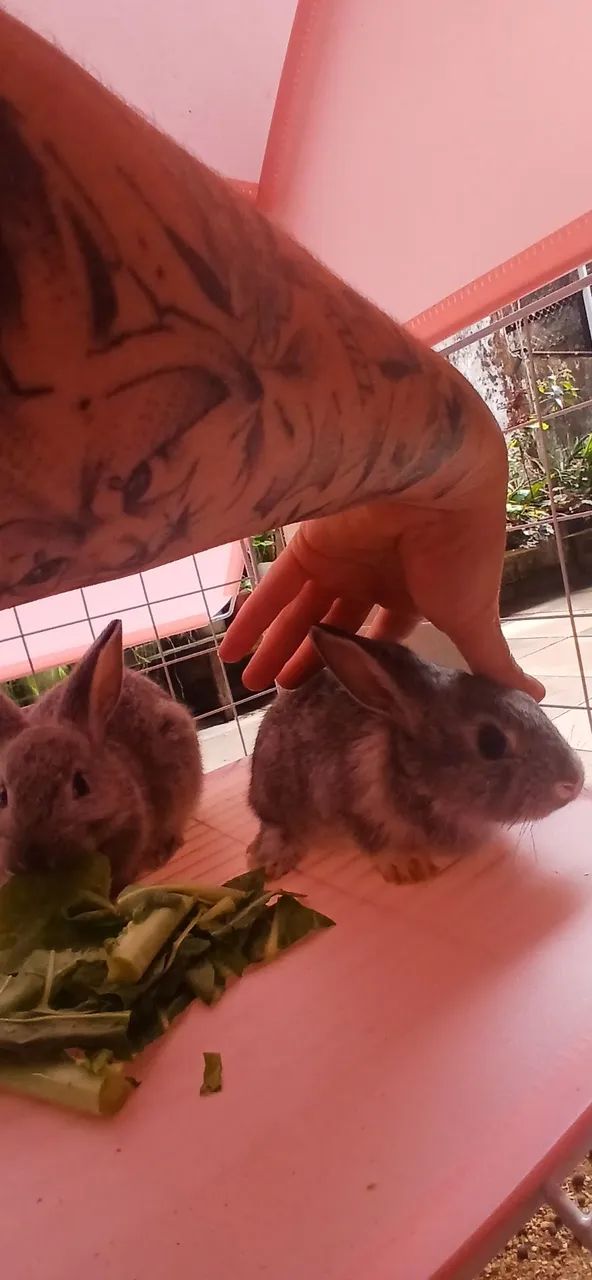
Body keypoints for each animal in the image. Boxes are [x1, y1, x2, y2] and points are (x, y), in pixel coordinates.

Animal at [248, 623, 584, 882]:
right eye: (491, 742)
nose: (575, 781)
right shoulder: (349, 803)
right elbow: (374, 840)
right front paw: (407, 867)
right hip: (276, 795)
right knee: (274, 825)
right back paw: (269, 861)